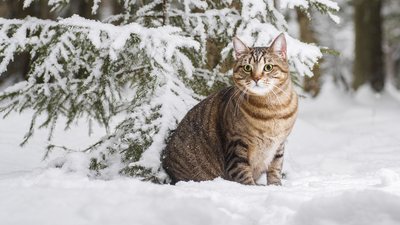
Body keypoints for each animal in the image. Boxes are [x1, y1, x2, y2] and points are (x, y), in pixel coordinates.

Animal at [162, 33, 296, 185]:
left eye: (268, 67)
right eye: (247, 67)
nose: (256, 78)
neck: (272, 109)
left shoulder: (279, 145)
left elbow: (275, 169)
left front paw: (275, 186)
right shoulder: (237, 146)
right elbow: (244, 175)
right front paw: (255, 187)